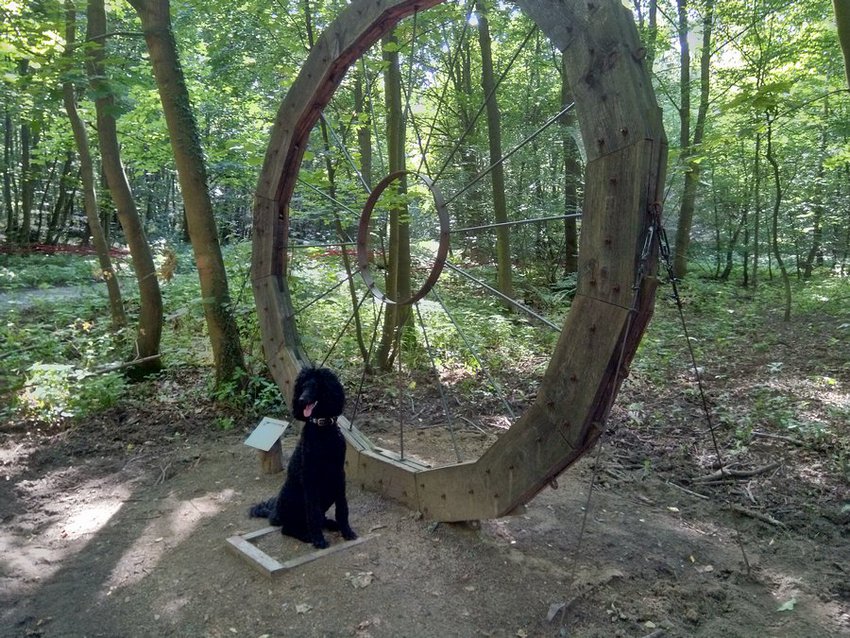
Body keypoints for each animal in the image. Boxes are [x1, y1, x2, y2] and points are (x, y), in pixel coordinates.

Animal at [247, 368, 356, 548]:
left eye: (315, 386)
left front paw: (346, 530)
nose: (301, 399)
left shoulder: (339, 475)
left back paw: (330, 524)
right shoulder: (310, 479)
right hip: (294, 498)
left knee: (317, 518)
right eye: (302, 386)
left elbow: (342, 507)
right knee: (288, 528)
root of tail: (275, 513)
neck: (323, 430)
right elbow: (313, 513)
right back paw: (307, 535)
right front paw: (318, 539)